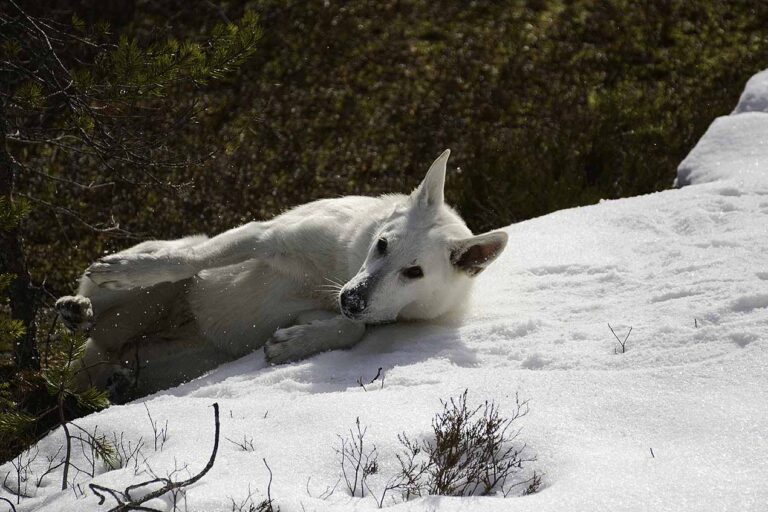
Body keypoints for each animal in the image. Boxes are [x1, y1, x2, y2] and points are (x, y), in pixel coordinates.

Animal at [55, 150, 510, 398]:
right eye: (382, 244)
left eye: (414, 272)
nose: (351, 299)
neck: (338, 268)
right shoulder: (262, 236)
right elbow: (189, 261)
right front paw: (125, 272)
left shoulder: (326, 310)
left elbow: (351, 329)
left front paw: (292, 345)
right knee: (106, 306)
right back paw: (80, 306)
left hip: (183, 361)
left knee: (109, 346)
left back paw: (115, 376)